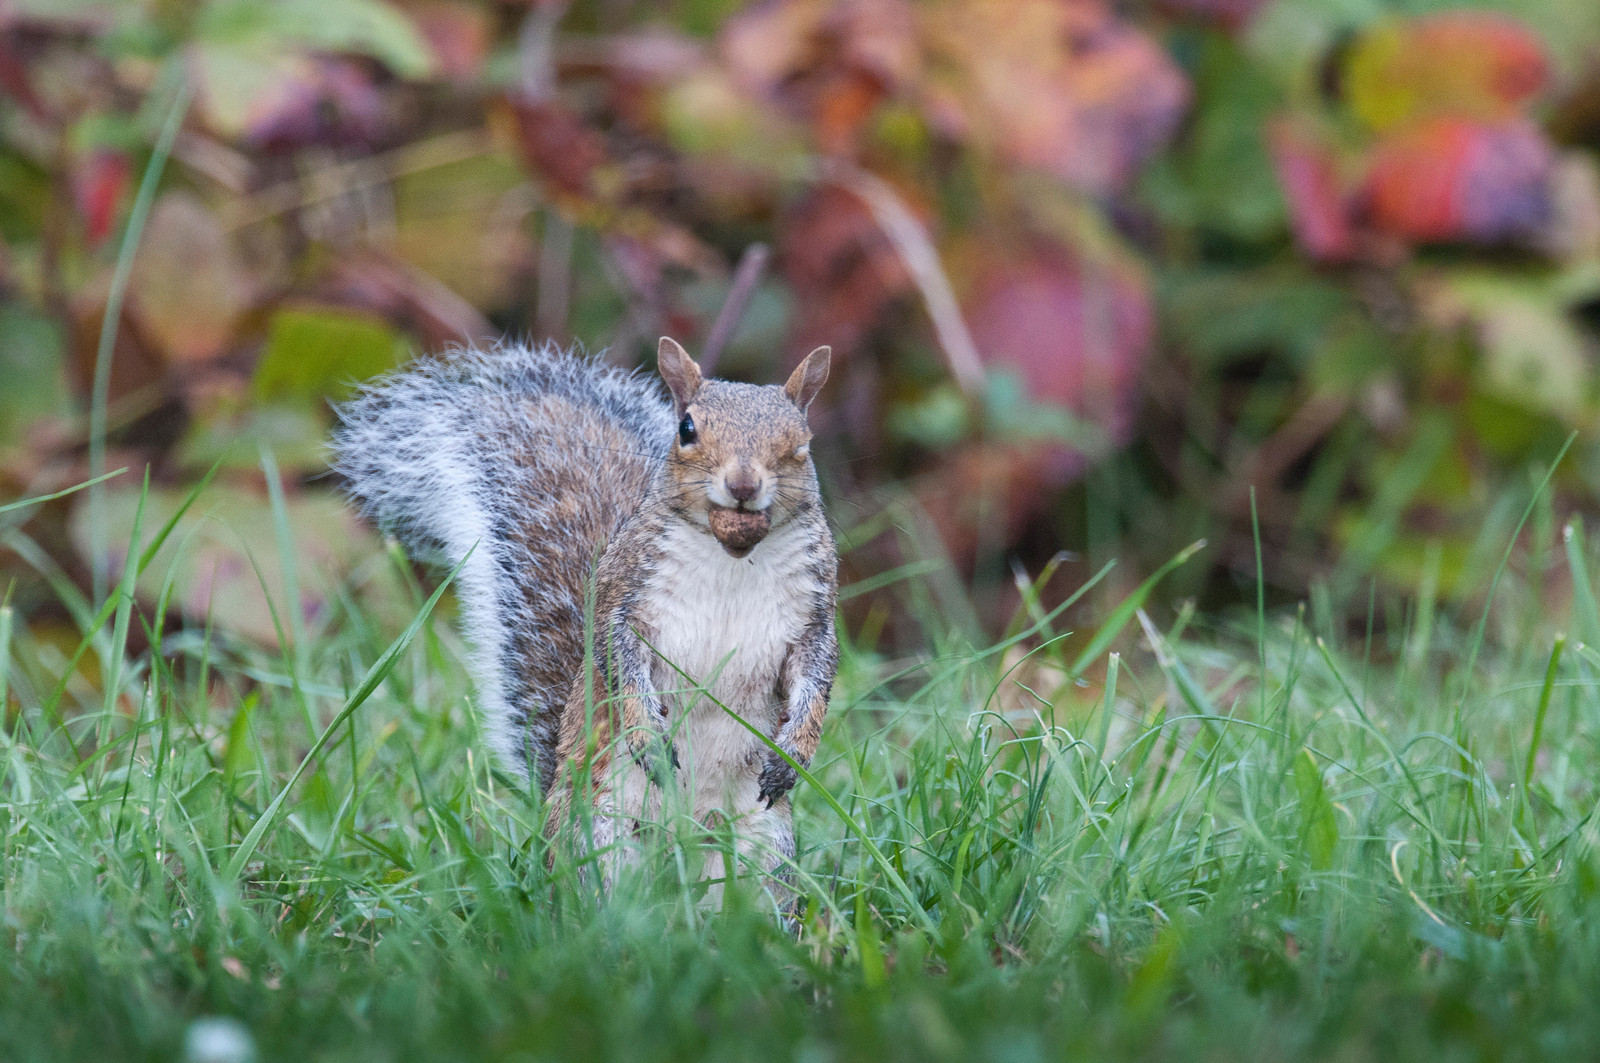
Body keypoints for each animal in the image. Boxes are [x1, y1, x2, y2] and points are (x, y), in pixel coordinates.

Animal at [332, 336, 844, 902]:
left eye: (801, 442)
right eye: (686, 429)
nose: (743, 484)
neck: (733, 555)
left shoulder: (812, 618)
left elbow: (815, 679)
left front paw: (794, 753)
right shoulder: (626, 597)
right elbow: (618, 659)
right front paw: (647, 736)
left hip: (764, 851)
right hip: (598, 833)